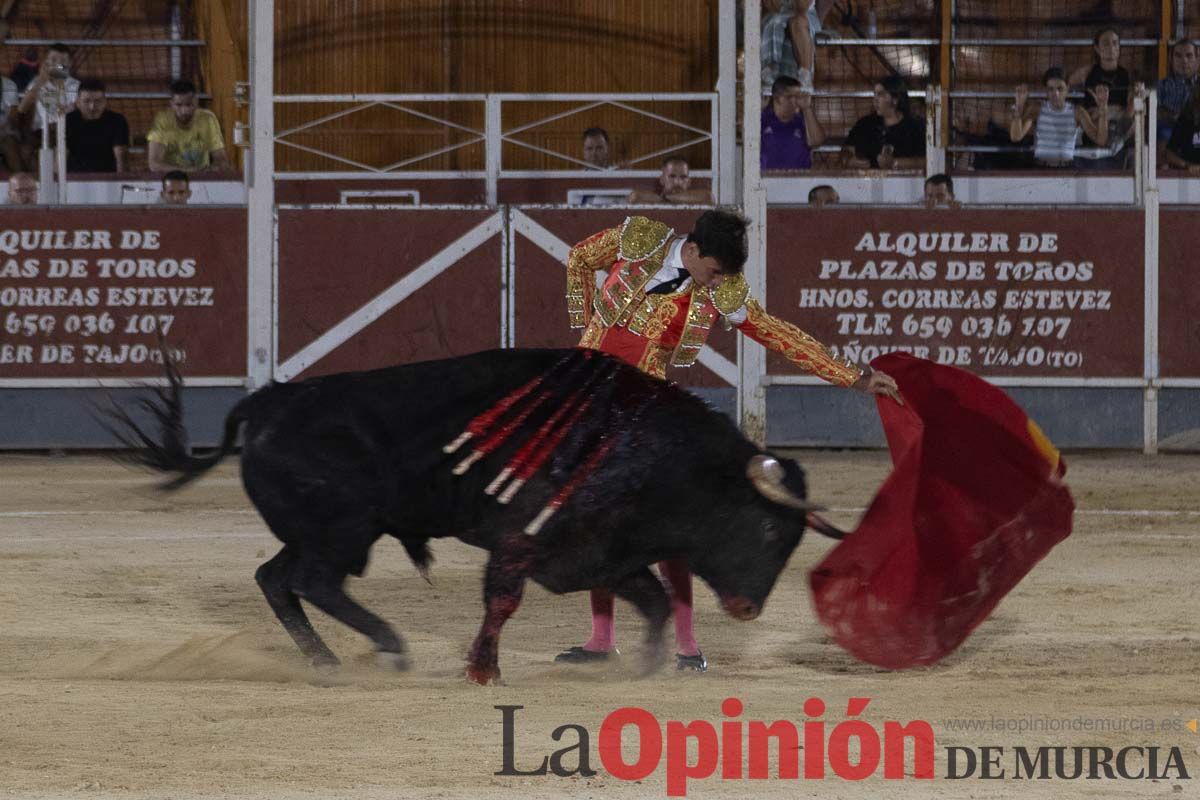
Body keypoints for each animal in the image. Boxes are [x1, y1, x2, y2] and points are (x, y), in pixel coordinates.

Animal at [117, 347, 840, 686]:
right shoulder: (522, 541)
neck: (649, 448)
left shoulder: (601, 551)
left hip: (318, 532)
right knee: (311, 581)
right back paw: (389, 647)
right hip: (345, 529)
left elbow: (656, 600)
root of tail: (266, 402)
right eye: (770, 527)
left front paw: (644, 663)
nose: (749, 609)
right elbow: (502, 601)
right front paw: (482, 669)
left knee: (276, 579)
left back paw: (327, 660)